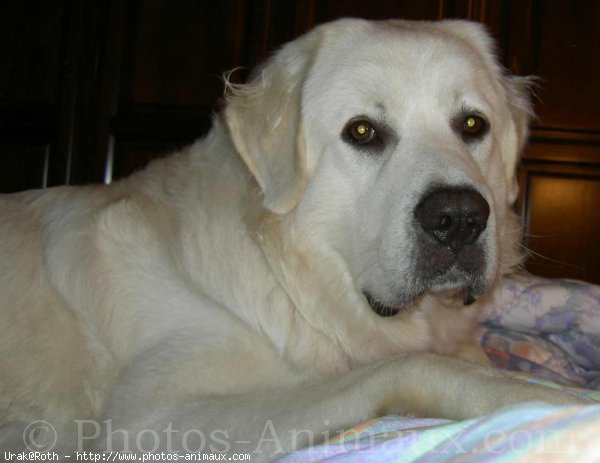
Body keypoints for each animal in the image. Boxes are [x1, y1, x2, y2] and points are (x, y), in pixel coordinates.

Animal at [0, 18, 580, 460]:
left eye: (473, 124)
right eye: (362, 131)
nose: (459, 217)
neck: (295, 287)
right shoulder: (151, 420)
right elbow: (414, 365)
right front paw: (540, 398)